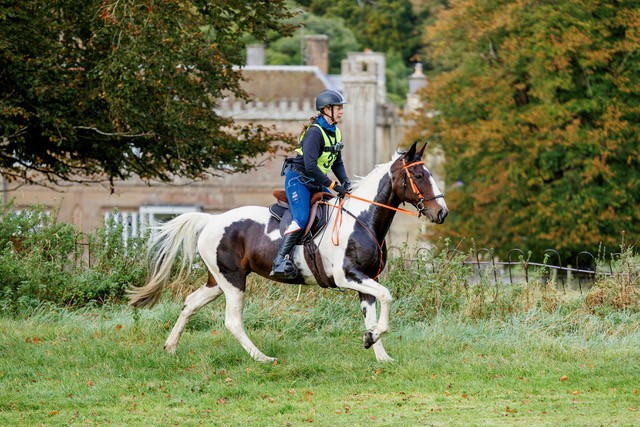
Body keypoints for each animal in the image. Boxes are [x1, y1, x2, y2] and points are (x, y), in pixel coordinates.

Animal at [128, 141, 448, 362]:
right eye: (419, 175)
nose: (441, 213)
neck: (362, 219)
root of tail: (211, 220)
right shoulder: (347, 276)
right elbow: (388, 297)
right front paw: (373, 340)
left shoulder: (366, 279)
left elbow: (373, 311)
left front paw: (378, 351)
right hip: (233, 281)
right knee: (233, 321)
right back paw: (262, 358)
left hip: (218, 279)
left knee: (191, 303)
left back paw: (170, 347)